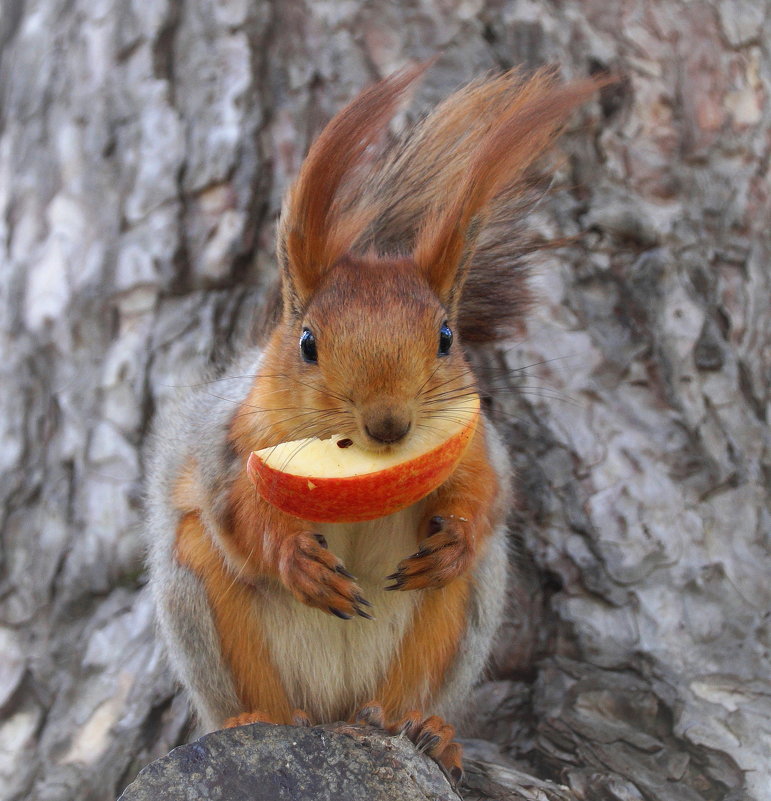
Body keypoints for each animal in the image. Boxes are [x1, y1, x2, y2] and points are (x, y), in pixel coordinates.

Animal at [143, 64, 604, 780]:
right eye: (307, 343)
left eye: (446, 337)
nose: (389, 424)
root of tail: (335, 710)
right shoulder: (225, 443)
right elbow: (238, 513)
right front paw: (295, 558)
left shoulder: (478, 445)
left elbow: (486, 492)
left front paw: (457, 535)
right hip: (201, 602)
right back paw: (259, 718)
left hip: (457, 622)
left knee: (413, 681)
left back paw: (424, 729)